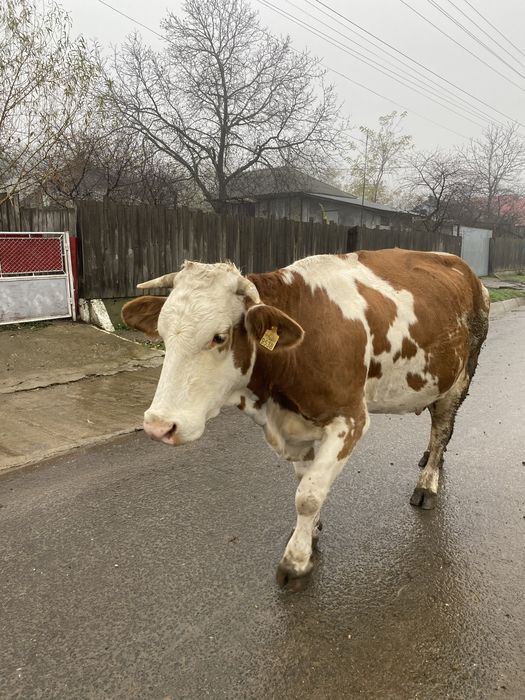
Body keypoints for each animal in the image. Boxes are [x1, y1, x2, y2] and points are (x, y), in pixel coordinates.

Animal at [122, 249, 490, 590]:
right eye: (162, 335)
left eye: (219, 337)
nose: (158, 425)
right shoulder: (293, 428)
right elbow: (305, 483)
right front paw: (310, 532)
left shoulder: (350, 420)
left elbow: (308, 495)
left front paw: (296, 561)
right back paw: (429, 460)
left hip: (461, 376)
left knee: (443, 429)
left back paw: (428, 482)